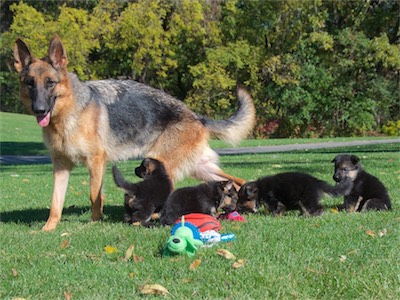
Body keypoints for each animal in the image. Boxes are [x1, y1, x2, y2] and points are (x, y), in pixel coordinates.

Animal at [14, 34, 256, 230]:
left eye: (50, 83)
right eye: (30, 83)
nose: (40, 110)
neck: (68, 113)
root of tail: (197, 117)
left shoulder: (96, 162)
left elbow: (94, 196)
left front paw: (94, 223)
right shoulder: (61, 167)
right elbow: (56, 202)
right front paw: (48, 228)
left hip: (166, 165)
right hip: (200, 169)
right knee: (235, 181)